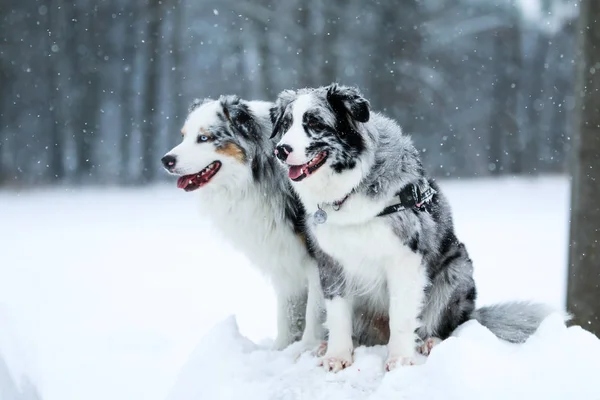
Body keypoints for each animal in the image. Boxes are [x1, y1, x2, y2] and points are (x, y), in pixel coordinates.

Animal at [270, 83, 556, 372]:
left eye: (315, 123)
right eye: (286, 124)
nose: (281, 150)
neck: (351, 189)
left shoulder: (405, 259)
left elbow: (401, 317)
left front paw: (399, 359)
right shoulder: (330, 262)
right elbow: (338, 314)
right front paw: (336, 356)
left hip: (457, 270)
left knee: (441, 325)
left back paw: (430, 342)